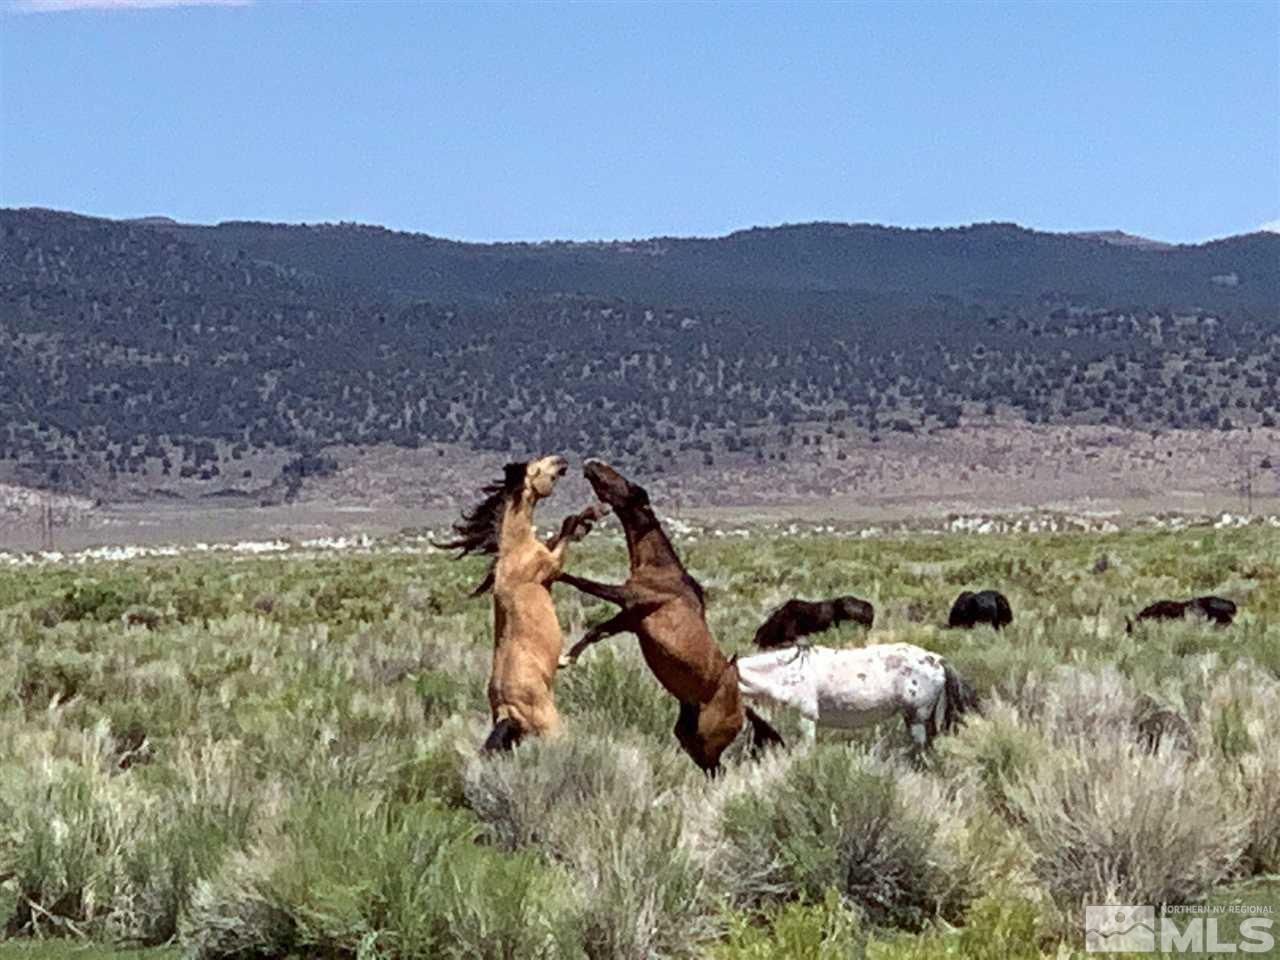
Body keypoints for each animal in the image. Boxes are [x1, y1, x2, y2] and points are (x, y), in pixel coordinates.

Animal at [435, 455, 604, 752]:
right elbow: (567, 527)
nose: (561, 460)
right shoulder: (551, 566)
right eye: (538, 467)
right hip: (551, 727)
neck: (516, 550)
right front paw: (591, 515)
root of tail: (507, 710)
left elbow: (560, 531)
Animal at [556, 459, 784, 774]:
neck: (661, 567)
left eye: (627, 483)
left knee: (718, 769)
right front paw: (565, 659)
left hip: (709, 740)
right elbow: (595, 632)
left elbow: (584, 584)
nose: (593, 464)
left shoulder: (631, 599)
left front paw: (552, 571)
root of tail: (742, 709)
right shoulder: (630, 619)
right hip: (688, 735)